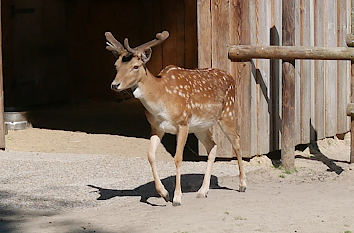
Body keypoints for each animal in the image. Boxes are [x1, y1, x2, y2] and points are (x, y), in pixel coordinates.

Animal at [105, 29, 246, 206]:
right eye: (116, 65)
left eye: (135, 66)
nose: (114, 85)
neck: (160, 98)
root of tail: (231, 77)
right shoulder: (156, 126)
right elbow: (150, 155)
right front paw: (164, 193)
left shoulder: (183, 122)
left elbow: (178, 158)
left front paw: (177, 198)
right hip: (201, 127)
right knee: (212, 146)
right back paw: (203, 191)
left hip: (228, 113)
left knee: (237, 141)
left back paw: (242, 185)